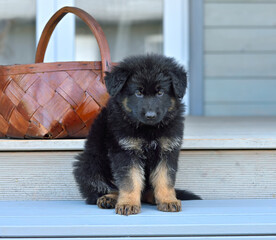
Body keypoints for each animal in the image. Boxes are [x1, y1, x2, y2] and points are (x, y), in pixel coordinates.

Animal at [73, 54, 201, 216]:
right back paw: (110, 198)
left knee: (145, 191)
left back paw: (154, 197)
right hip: (89, 163)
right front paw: (128, 203)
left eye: (160, 92)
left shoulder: (167, 150)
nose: (150, 115)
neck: (148, 130)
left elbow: (165, 178)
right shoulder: (126, 151)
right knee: (105, 188)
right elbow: (130, 181)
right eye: (138, 93)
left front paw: (167, 200)